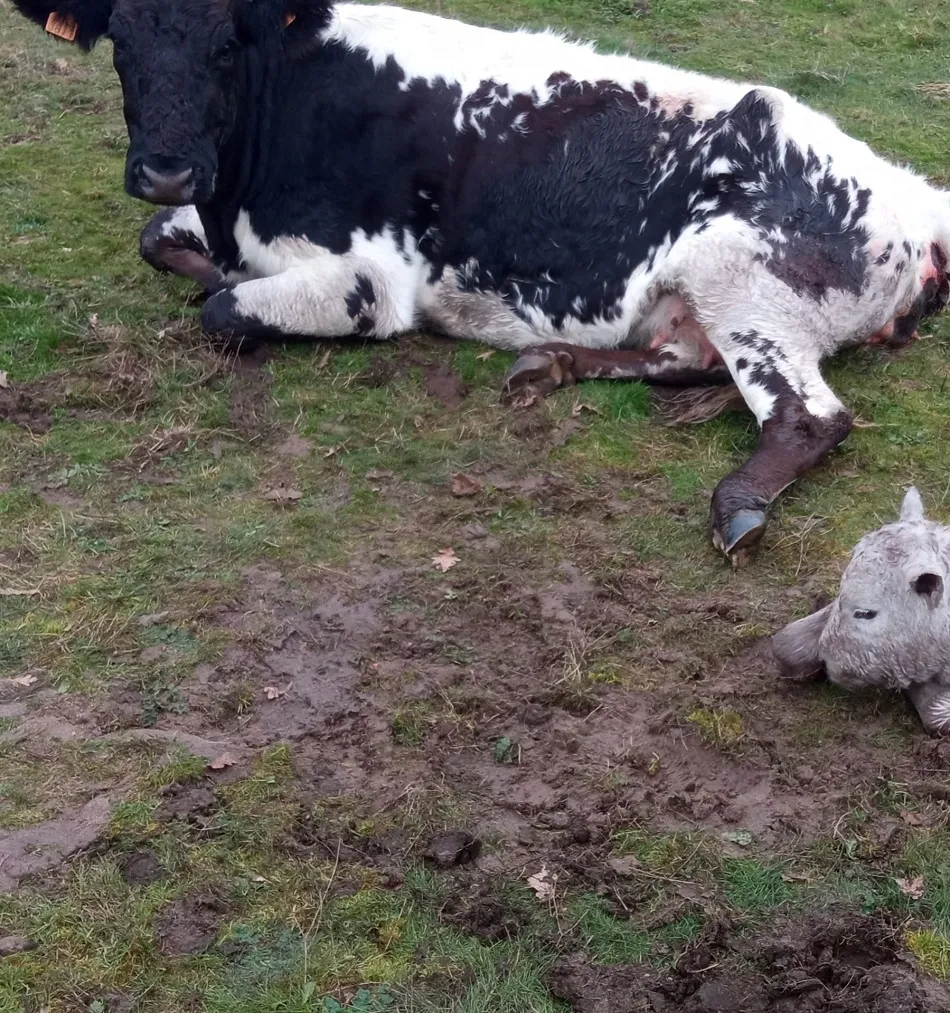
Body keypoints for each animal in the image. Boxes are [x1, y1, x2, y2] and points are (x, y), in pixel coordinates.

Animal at [10, 0, 950, 562]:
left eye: (224, 45)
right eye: (121, 46)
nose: (167, 168)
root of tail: (916, 196)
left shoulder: (371, 279)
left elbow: (222, 308)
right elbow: (158, 243)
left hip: (739, 279)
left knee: (810, 414)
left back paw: (738, 505)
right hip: (696, 304)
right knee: (682, 356)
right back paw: (549, 362)